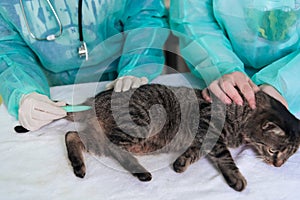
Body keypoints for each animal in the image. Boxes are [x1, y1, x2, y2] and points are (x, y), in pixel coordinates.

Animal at [63, 83, 300, 191]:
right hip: (139, 125)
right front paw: (235, 177)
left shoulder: (202, 138)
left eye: (289, 157)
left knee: (71, 134)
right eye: (273, 150)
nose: (278, 165)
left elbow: (195, 152)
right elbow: (225, 156)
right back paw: (141, 172)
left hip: (99, 138)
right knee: (112, 147)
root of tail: (95, 99)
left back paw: (78, 166)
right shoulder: (209, 128)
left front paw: (181, 163)